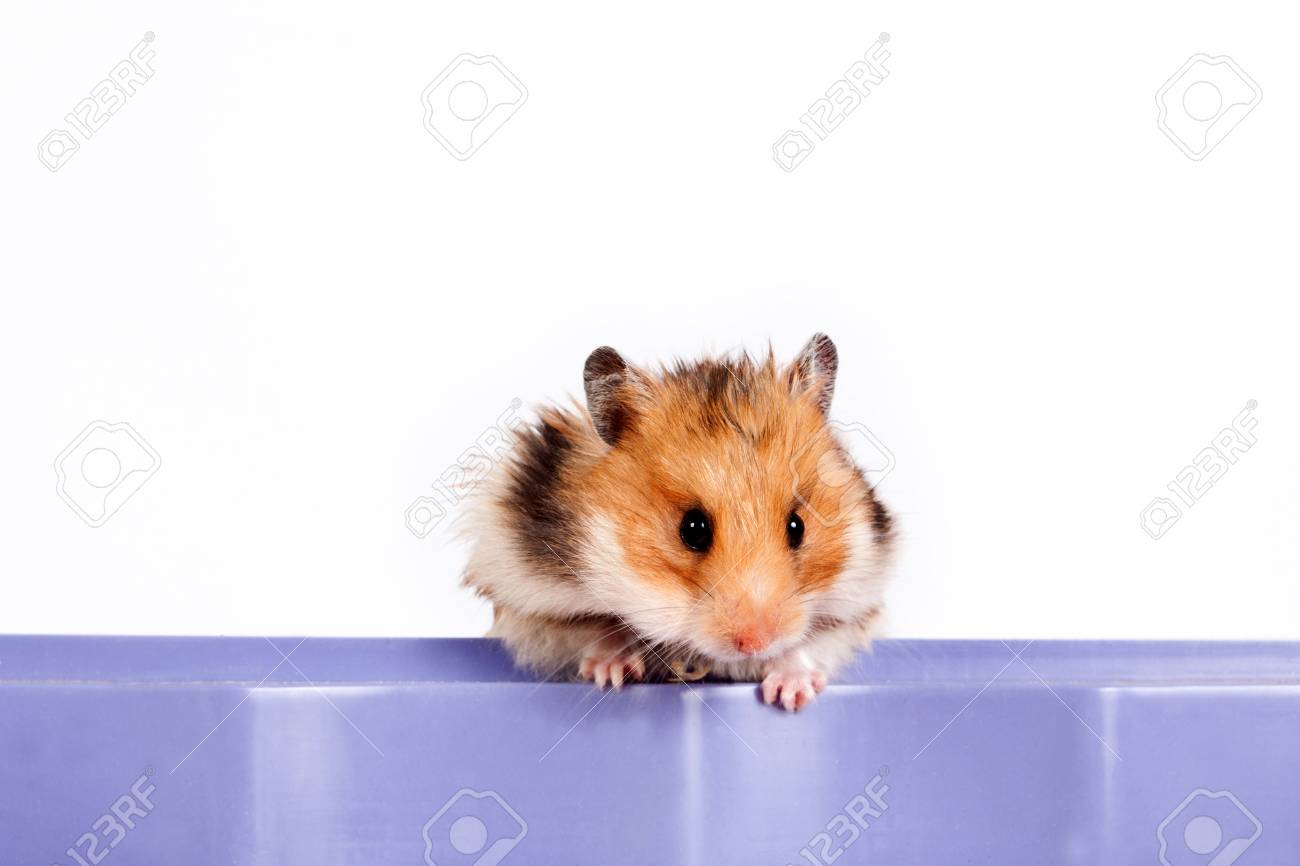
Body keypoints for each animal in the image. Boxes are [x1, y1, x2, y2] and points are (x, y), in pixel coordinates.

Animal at [460, 334, 894, 711]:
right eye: (692, 529)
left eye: (797, 527)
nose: (754, 643)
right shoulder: (528, 591)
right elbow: (599, 627)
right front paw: (613, 675)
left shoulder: (855, 603)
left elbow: (808, 644)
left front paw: (788, 696)